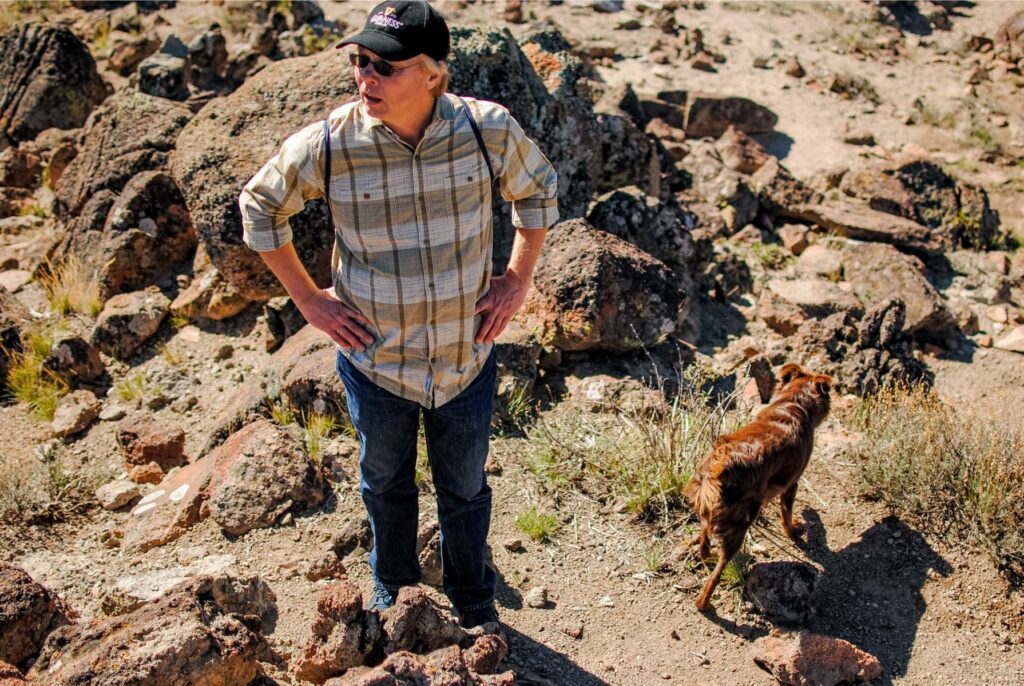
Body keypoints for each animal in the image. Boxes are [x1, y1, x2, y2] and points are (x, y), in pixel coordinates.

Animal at [684, 364, 827, 614]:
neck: (794, 402)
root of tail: (719, 465)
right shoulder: (792, 482)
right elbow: (787, 514)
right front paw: (794, 531)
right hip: (739, 523)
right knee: (717, 572)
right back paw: (704, 603)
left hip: (705, 510)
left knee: (703, 541)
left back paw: (706, 558)